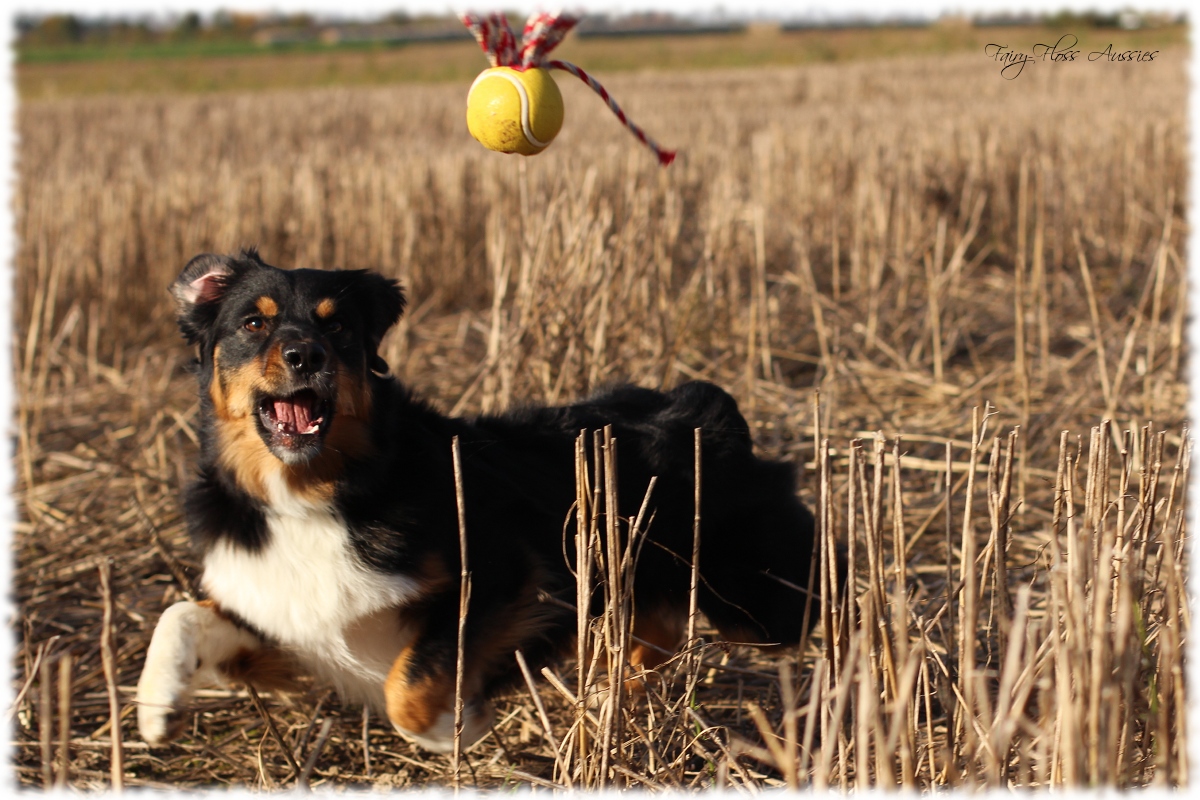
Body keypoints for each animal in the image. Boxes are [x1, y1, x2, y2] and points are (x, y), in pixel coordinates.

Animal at [136, 251, 820, 758]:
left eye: (338, 326)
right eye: (253, 323)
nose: (307, 355)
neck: (318, 495)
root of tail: (704, 401)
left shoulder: (505, 573)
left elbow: (410, 683)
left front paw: (452, 729)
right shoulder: (283, 626)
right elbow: (179, 613)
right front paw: (155, 705)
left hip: (758, 605)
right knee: (657, 633)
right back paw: (613, 699)